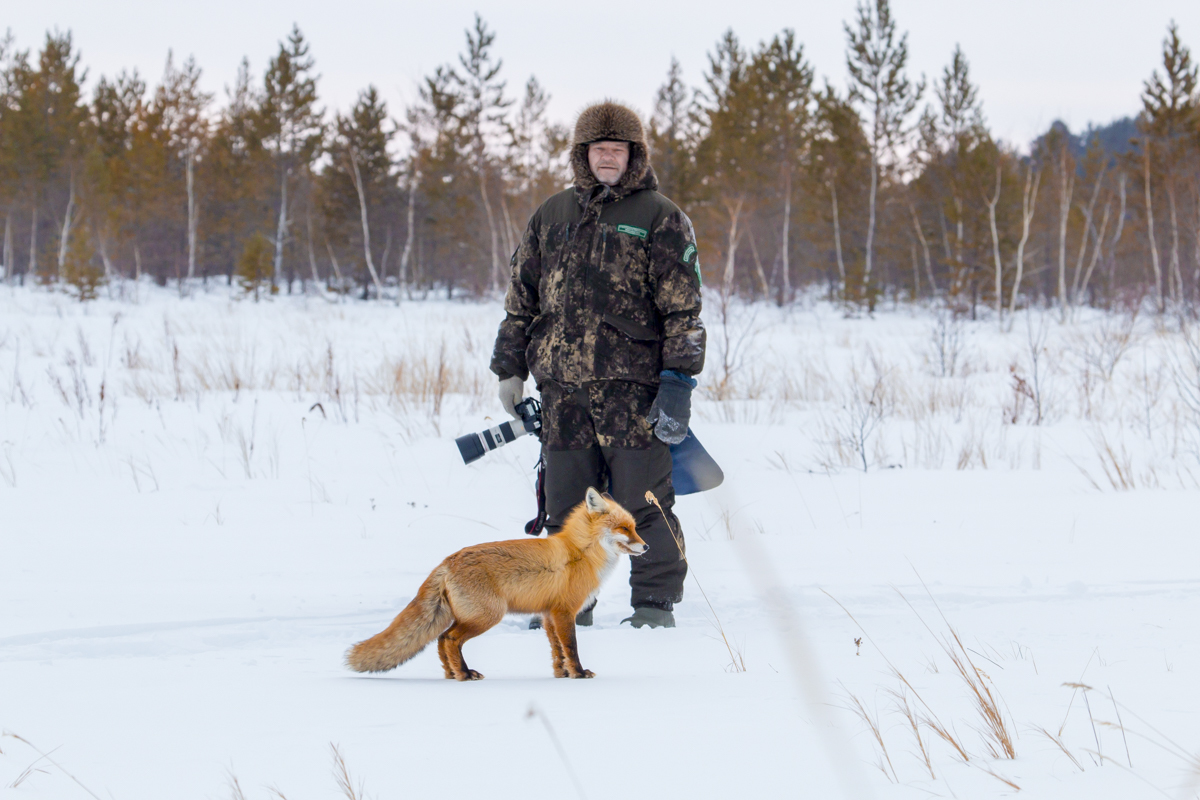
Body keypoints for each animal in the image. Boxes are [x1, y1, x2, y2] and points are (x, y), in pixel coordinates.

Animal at [348, 489, 648, 681]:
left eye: (634, 527)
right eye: (624, 528)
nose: (646, 546)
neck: (581, 552)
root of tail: (446, 562)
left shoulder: (548, 614)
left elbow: (557, 651)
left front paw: (561, 674)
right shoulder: (564, 611)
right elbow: (571, 647)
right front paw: (578, 673)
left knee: (440, 640)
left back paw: (451, 674)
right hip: (487, 616)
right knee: (449, 639)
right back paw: (464, 674)